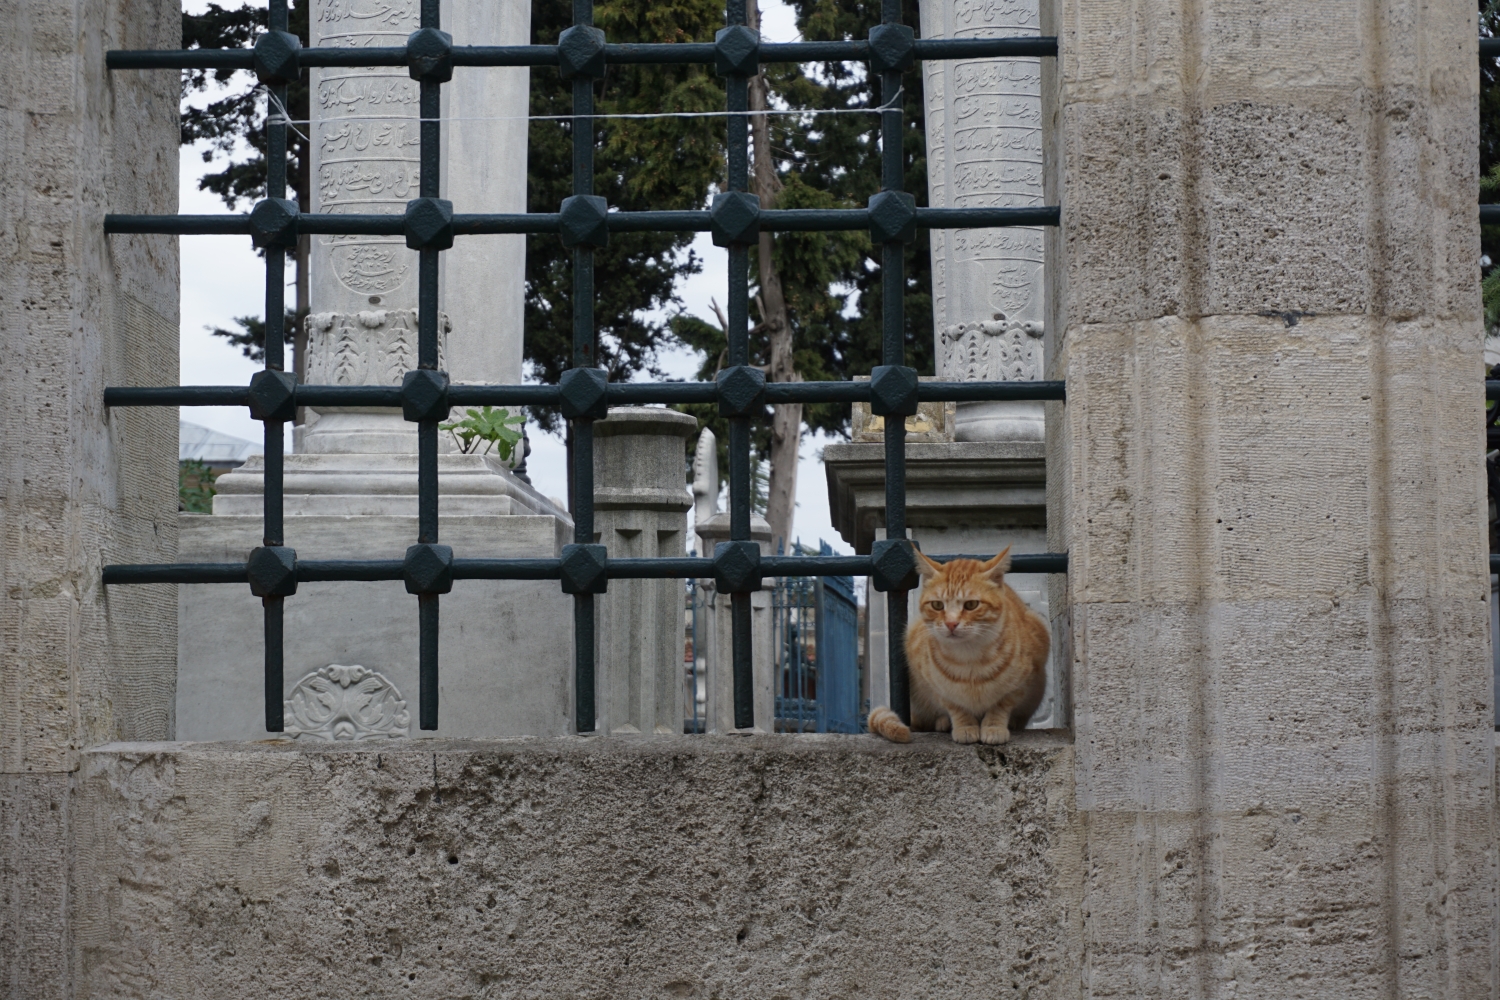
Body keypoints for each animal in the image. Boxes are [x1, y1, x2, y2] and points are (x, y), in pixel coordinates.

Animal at [876, 548, 1050, 743]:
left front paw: (994, 727)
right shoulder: (936, 686)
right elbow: (956, 707)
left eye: (971, 604)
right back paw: (943, 722)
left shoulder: (1022, 683)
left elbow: (1000, 706)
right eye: (937, 605)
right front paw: (965, 726)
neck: (969, 657)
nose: (951, 623)